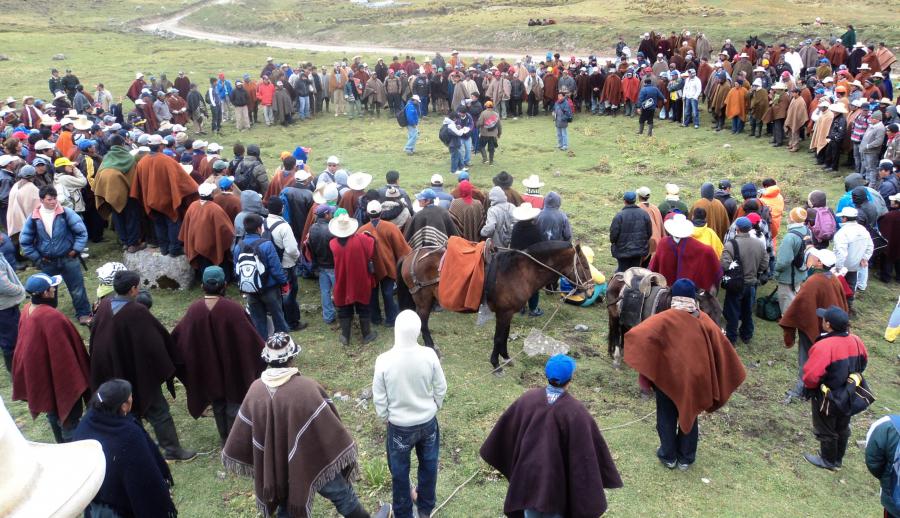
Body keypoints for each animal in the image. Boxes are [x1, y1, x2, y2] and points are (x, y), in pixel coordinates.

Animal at [398, 242, 596, 372]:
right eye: (585, 266)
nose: (591, 290)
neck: (519, 272)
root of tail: (410, 255)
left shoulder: (508, 313)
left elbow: (505, 335)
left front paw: (506, 358)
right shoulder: (504, 312)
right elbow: (498, 337)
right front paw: (496, 364)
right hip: (423, 299)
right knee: (423, 324)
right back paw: (433, 348)